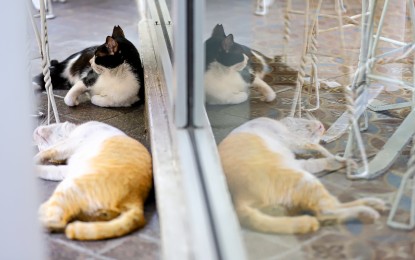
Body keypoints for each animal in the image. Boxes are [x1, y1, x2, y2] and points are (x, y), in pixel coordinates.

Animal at [221, 117, 386, 235]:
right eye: (305, 122)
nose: (322, 125)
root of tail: (239, 200)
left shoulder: (298, 160)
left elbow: (320, 160)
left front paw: (343, 161)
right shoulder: (294, 141)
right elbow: (318, 148)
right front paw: (337, 157)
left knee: (330, 207)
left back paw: (373, 203)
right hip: (303, 178)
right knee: (325, 212)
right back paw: (367, 211)